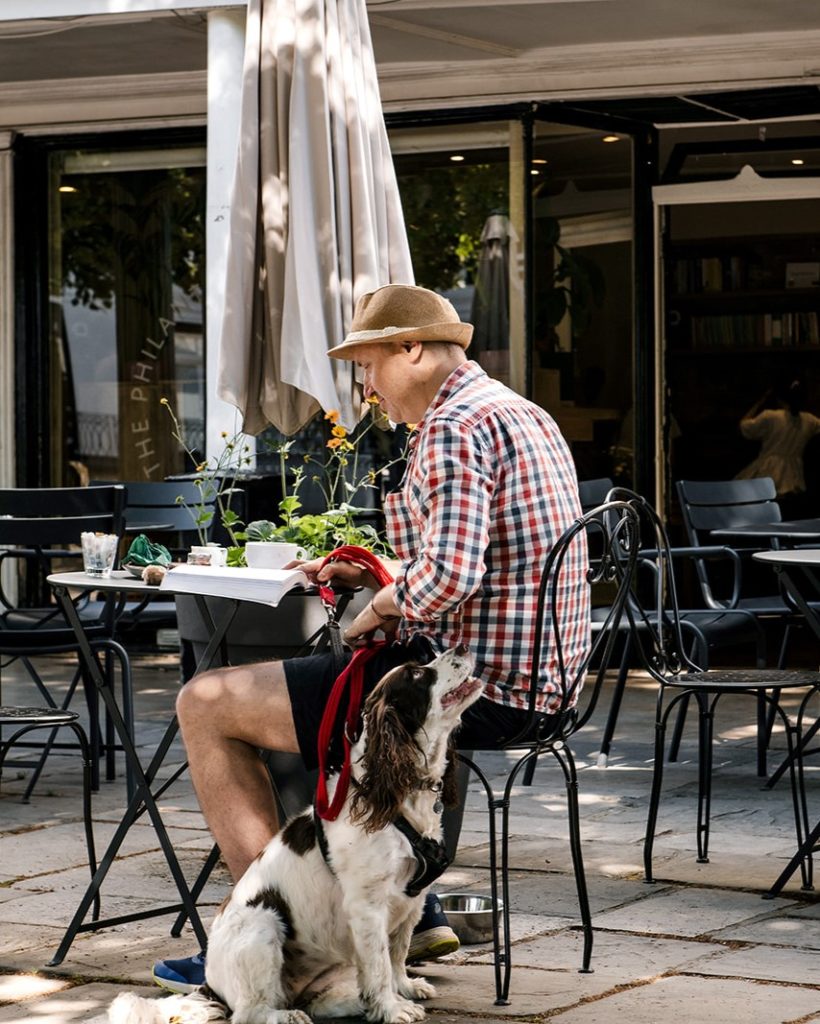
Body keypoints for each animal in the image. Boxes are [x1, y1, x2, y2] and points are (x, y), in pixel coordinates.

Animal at [108, 643, 479, 1024]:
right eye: (418, 674)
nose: (463, 646)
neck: (395, 796)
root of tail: (209, 984)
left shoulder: (412, 899)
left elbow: (397, 954)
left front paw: (404, 989)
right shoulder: (368, 905)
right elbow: (379, 964)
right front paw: (392, 1008)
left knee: (318, 999)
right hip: (262, 924)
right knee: (249, 1012)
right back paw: (286, 1016)